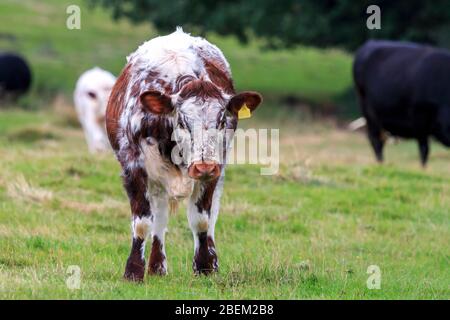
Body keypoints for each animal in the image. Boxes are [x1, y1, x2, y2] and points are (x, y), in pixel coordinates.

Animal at [106, 28, 262, 282]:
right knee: (159, 215)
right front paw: (133, 271)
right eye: (182, 121)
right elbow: (142, 222)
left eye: (222, 120)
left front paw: (205, 266)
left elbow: (202, 220)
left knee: (210, 215)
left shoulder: (214, 168)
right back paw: (157, 266)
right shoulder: (133, 165)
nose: (204, 167)